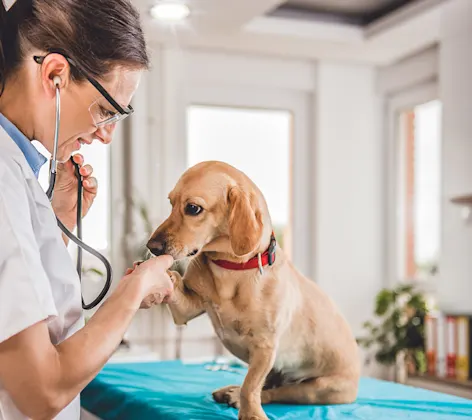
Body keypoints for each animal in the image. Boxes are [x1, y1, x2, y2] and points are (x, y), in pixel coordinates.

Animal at [148, 162, 362, 420]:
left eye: (193, 208)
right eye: (171, 203)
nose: (151, 247)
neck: (230, 269)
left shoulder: (264, 346)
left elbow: (250, 386)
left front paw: (251, 413)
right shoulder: (186, 310)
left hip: (318, 389)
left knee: (275, 391)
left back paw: (236, 396)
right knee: (267, 386)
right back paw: (231, 391)